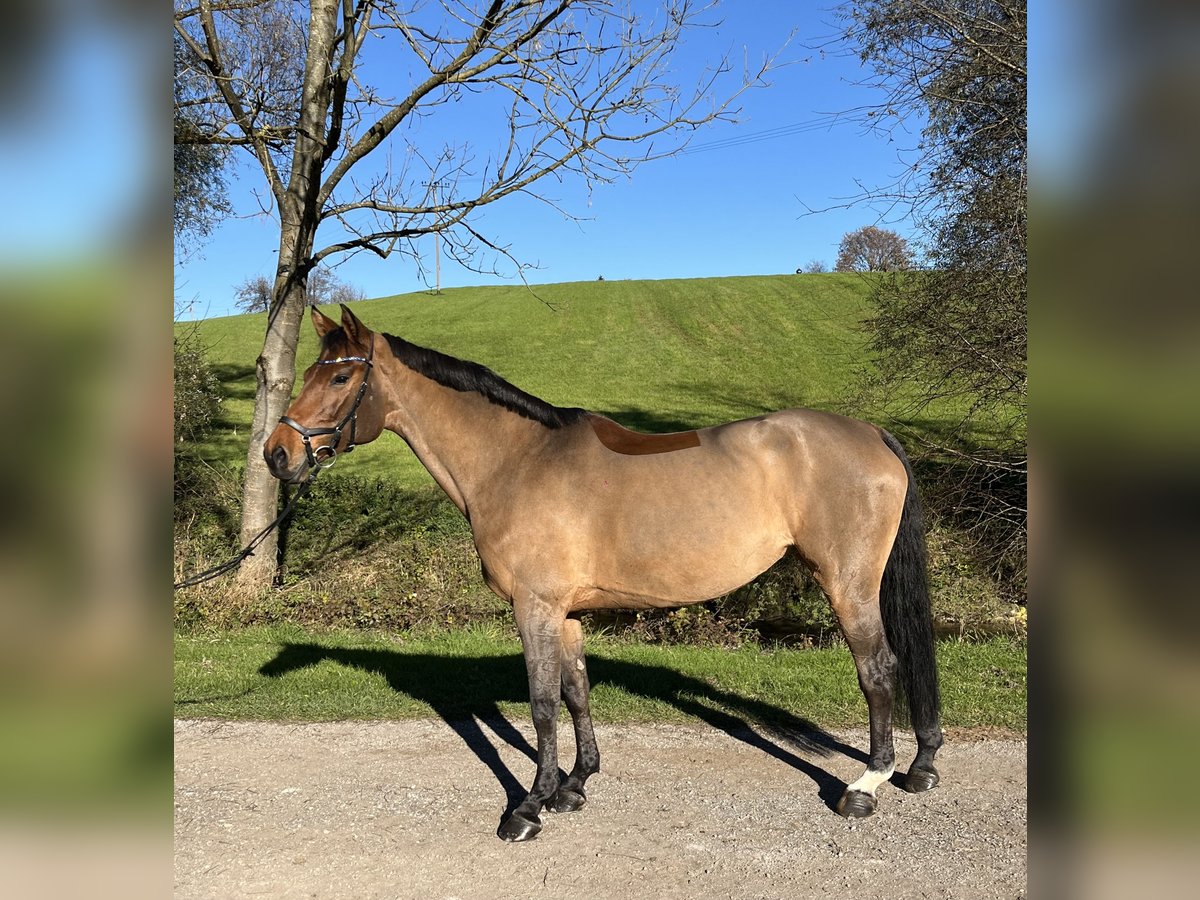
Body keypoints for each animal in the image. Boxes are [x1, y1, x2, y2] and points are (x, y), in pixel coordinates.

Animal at [265, 307, 945, 844]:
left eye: (342, 376)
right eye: (311, 373)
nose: (279, 454)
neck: (517, 460)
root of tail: (872, 434)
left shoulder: (534, 607)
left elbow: (542, 705)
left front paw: (529, 806)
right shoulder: (565, 612)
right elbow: (576, 692)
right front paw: (575, 784)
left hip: (848, 585)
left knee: (878, 669)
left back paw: (867, 786)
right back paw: (919, 766)